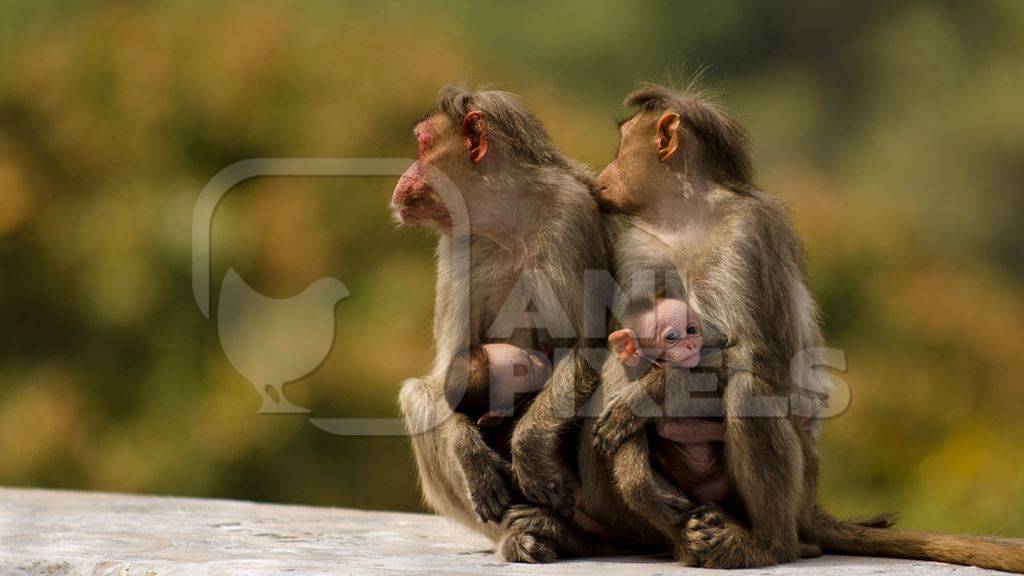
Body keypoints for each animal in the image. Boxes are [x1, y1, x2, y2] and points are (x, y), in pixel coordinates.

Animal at [393, 86, 610, 561]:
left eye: (422, 145)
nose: (404, 174)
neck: (507, 220)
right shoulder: (458, 241)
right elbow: (448, 370)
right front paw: (468, 449)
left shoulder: (571, 214)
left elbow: (592, 344)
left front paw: (529, 447)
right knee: (418, 397)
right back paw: (532, 530)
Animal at [585, 80, 1024, 569]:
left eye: (622, 146)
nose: (604, 172)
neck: (683, 220)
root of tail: (809, 509)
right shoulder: (634, 246)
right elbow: (622, 354)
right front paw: (633, 471)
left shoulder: (752, 234)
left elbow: (764, 358)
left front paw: (647, 395)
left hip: (798, 484)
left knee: (748, 392)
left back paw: (768, 545)